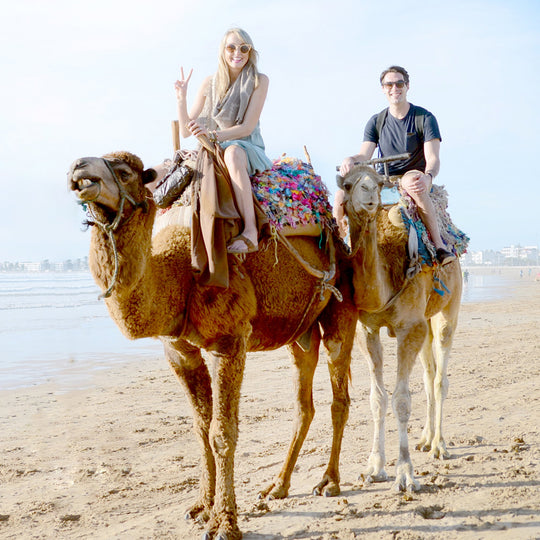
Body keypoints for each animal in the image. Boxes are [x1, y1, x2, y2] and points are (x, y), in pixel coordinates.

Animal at [67, 151, 358, 540]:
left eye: (126, 172)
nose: (79, 169)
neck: (179, 273)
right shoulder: (180, 351)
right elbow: (201, 429)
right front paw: (202, 507)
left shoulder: (229, 341)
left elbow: (223, 432)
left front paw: (225, 523)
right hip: (301, 332)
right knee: (303, 402)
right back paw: (278, 486)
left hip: (341, 306)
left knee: (339, 396)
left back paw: (329, 481)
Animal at [338, 166, 460, 494]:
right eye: (347, 184)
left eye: (379, 184)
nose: (368, 191)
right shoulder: (367, 330)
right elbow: (377, 399)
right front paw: (373, 468)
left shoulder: (408, 327)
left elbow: (401, 400)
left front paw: (405, 473)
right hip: (425, 321)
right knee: (429, 374)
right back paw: (425, 439)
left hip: (449, 306)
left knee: (441, 377)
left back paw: (440, 446)